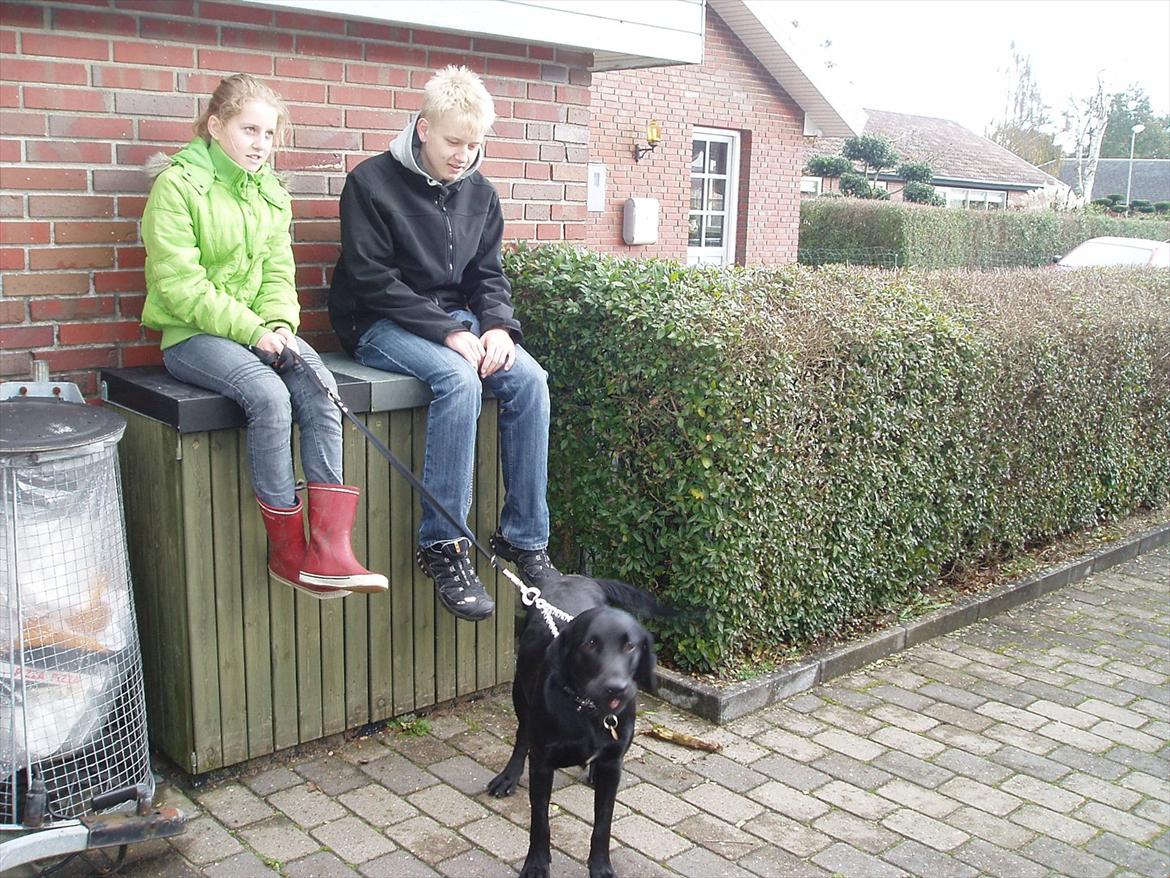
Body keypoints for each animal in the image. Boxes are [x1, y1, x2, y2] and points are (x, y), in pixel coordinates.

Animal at [486, 573, 669, 875]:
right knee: (523, 734)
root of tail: (575, 576)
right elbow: (540, 820)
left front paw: (601, 867)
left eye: (630, 646)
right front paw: (536, 864)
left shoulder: (612, 764)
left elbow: (603, 824)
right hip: (520, 693)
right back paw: (509, 776)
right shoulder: (542, 764)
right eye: (590, 644)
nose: (616, 688)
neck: (588, 710)